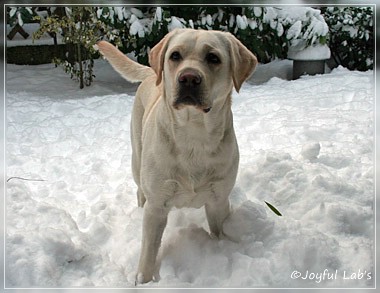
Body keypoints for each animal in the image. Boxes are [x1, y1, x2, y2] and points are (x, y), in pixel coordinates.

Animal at [97, 28, 258, 282]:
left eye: (213, 58)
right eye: (175, 56)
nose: (189, 78)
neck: (194, 135)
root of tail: (151, 73)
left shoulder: (219, 200)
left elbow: (219, 231)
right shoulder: (157, 206)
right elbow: (149, 250)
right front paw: (143, 280)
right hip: (137, 159)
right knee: (140, 190)